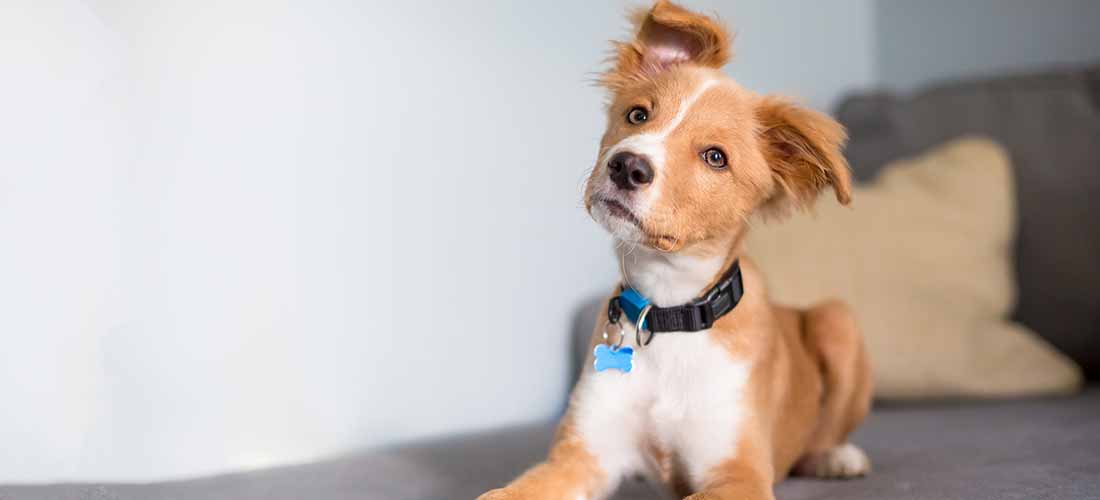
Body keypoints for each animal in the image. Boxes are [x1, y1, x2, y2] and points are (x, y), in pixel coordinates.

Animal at [477, 1, 871, 498]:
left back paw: (837, 457)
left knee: (824, 433)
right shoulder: (580, 457)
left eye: (715, 157)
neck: (667, 312)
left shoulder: (739, 473)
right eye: (638, 115)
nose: (626, 166)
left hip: (838, 320)